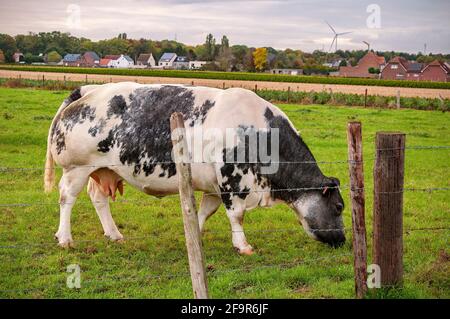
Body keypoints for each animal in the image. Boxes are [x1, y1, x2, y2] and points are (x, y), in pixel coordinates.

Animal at [44, 83, 344, 255]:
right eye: (339, 207)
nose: (342, 239)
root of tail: (87, 89)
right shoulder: (232, 181)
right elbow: (237, 216)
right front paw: (243, 246)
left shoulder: (213, 186)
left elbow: (204, 212)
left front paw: (194, 237)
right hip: (77, 167)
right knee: (66, 197)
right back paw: (65, 238)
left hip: (104, 169)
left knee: (98, 198)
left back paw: (114, 234)